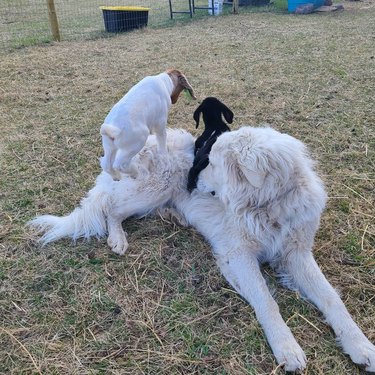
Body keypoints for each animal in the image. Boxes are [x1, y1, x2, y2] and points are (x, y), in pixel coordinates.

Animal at [29, 127, 375, 374]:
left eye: (214, 164)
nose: (193, 180)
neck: (268, 206)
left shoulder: (297, 255)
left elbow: (331, 298)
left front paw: (360, 345)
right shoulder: (238, 256)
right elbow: (267, 301)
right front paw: (286, 347)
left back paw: (174, 215)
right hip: (154, 188)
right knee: (111, 209)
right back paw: (118, 238)